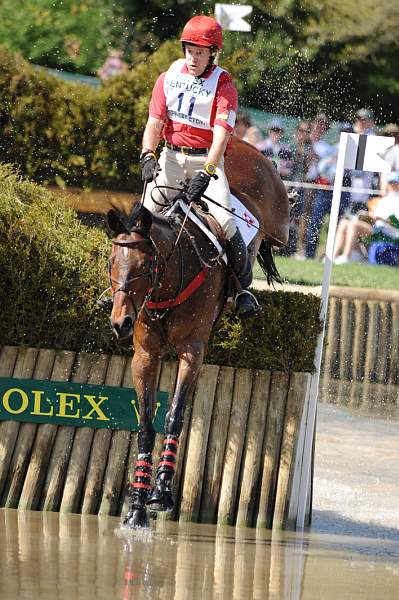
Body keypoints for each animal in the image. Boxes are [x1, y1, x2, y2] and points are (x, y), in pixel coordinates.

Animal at [108, 137, 290, 528]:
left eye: (146, 264)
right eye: (112, 262)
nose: (121, 323)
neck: (170, 279)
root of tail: (243, 144)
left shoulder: (192, 351)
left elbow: (174, 415)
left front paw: (161, 494)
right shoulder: (145, 354)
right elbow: (146, 424)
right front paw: (136, 506)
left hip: (279, 226)